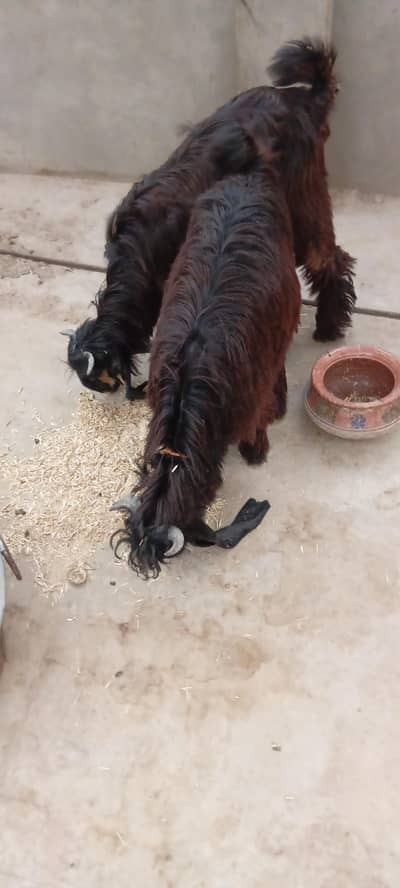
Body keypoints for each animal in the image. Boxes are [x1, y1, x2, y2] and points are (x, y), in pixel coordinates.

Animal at [66, 37, 355, 396]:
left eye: (99, 379)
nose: (104, 391)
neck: (138, 250)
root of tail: (304, 98)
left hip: (305, 199)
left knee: (329, 258)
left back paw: (329, 325)